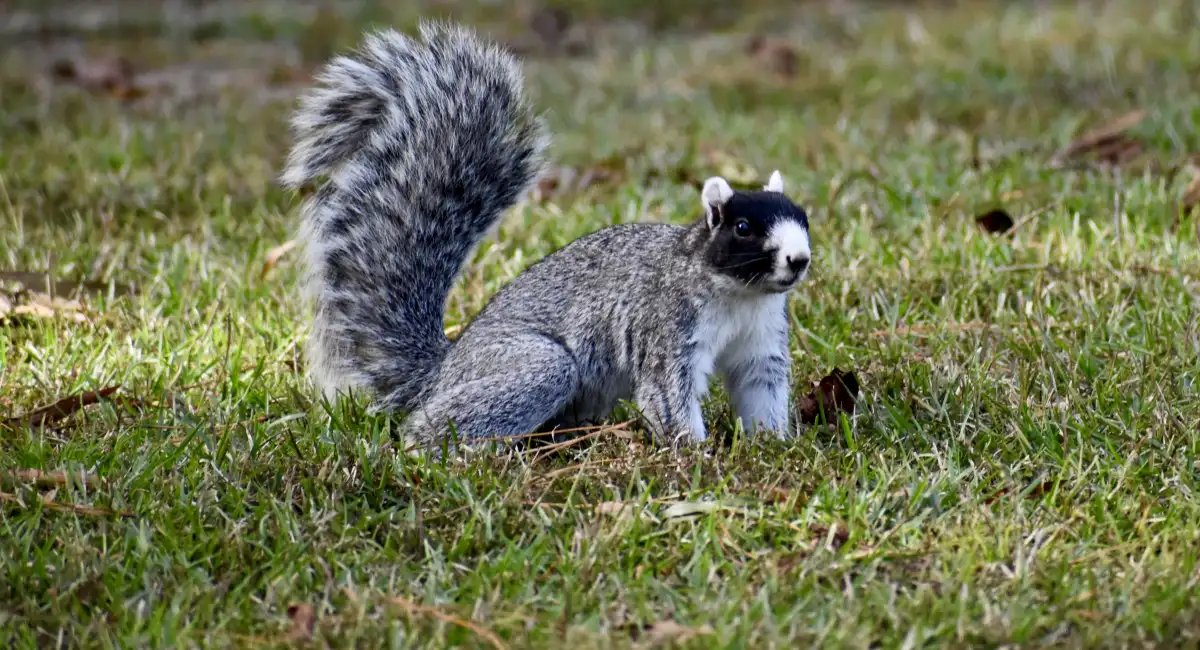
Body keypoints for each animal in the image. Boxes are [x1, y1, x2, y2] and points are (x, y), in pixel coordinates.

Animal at [281, 21, 812, 448]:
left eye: (804, 219)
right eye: (743, 228)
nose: (799, 259)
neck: (739, 295)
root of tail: (443, 371)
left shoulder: (761, 341)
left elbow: (760, 388)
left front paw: (773, 447)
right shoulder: (669, 326)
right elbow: (667, 394)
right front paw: (700, 459)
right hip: (533, 366)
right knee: (435, 424)